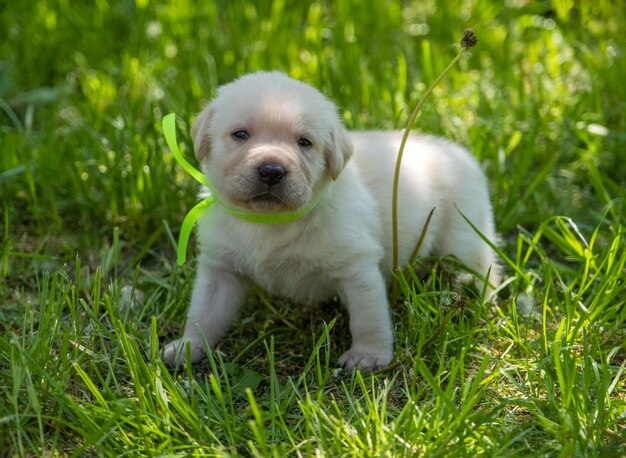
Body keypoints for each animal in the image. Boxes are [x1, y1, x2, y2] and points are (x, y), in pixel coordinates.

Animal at [161, 71, 498, 372]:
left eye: (304, 142)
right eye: (240, 135)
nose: (271, 171)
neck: (270, 221)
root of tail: (460, 153)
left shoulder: (357, 269)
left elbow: (368, 318)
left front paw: (367, 356)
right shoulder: (221, 269)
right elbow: (203, 313)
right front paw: (188, 346)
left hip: (463, 236)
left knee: (482, 268)